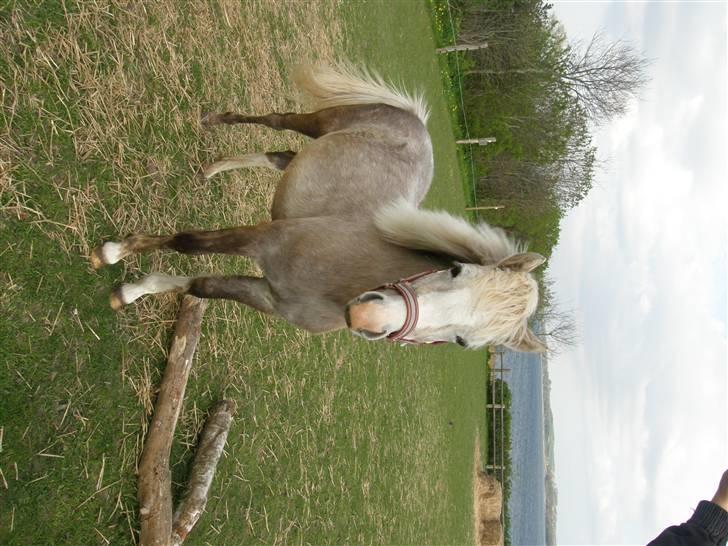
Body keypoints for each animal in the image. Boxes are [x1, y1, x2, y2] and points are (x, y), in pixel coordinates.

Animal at [90, 63, 546, 352]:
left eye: (462, 342)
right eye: (455, 270)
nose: (368, 317)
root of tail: (416, 122)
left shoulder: (267, 296)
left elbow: (198, 285)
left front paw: (131, 292)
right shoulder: (260, 239)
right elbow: (187, 243)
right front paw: (114, 253)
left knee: (279, 157)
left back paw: (212, 169)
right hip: (317, 122)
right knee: (276, 120)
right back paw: (215, 121)